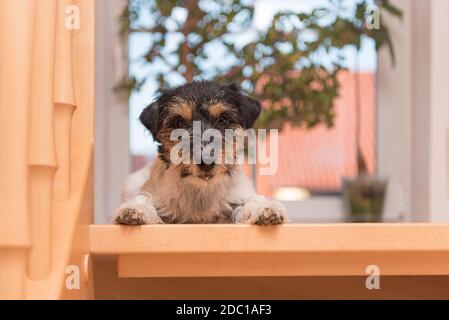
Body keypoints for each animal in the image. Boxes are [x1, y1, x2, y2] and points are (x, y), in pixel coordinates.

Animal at [113, 80, 288, 225]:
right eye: (179, 122)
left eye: (223, 120)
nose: (205, 162)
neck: (200, 189)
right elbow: (144, 198)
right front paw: (135, 209)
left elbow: (250, 201)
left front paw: (265, 208)